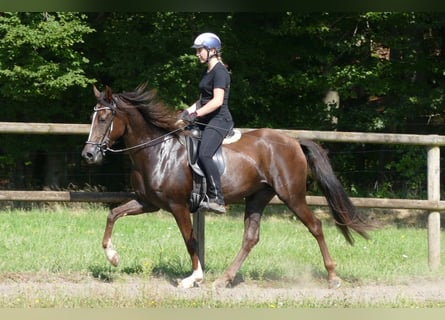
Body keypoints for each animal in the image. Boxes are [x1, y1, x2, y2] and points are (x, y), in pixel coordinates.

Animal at [80, 84, 372, 288]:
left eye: (104, 119)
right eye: (92, 118)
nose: (89, 155)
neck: (157, 151)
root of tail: (293, 141)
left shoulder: (177, 205)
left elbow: (190, 239)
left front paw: (194, 278)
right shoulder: (148, 202)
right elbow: (113, 214)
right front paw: (113, 257)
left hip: (292, 195)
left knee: (316, 226)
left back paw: (333, 276)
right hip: (258, 196)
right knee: (250, 237)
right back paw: (224, 279)